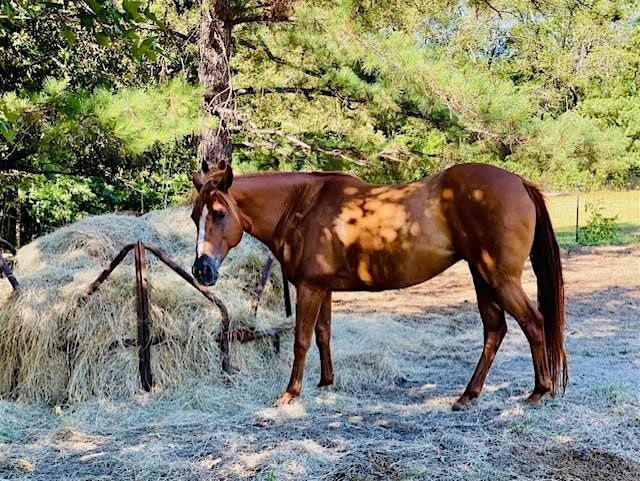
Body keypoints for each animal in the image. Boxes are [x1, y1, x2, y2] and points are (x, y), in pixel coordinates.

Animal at [190, 161, 564, 408]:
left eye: (219, 213)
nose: (201, 269)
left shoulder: (310, 288)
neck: (302, 206)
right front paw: (326, 382)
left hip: (499, 278)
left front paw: (291, 393)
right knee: (495, 330)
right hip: (482, 277)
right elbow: (323, 334)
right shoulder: (322, 289)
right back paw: (468, 395)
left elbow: (302, 340)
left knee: (533, 323)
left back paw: (539, 391)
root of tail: (519, 182)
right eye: (196, 216)